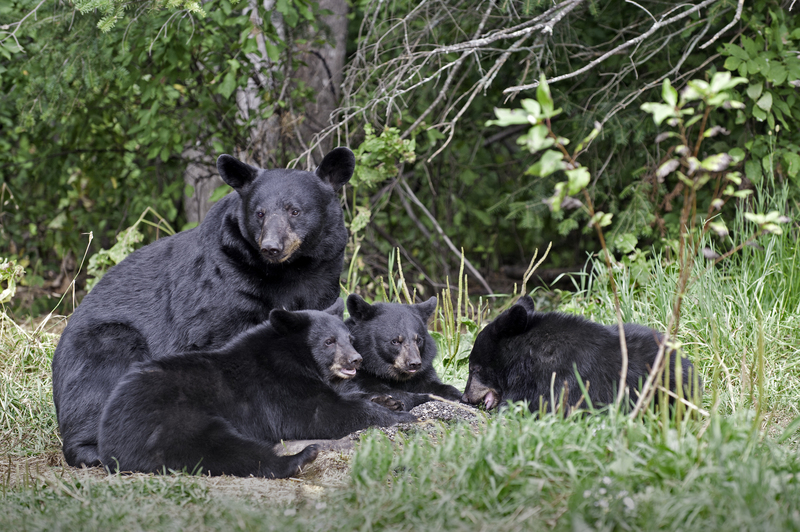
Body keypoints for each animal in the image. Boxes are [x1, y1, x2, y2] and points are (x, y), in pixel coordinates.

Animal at [54, 148, 354, 468]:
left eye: (294, 210)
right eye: (259, 213)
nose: (271, 247)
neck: (288, 271)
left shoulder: (323, 276)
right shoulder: (225, 282)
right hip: (102, 349)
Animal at [97, 300, 416, 478]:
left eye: (349, 338)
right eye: (329, 342)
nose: (356, 360)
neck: (295, 355)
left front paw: (389, 401)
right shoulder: (278, 387)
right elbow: (321, 413)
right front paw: (401, 416)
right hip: (171, 420)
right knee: (220, 448)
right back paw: (299, 458)